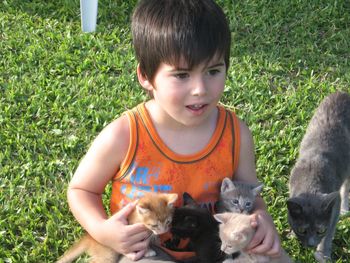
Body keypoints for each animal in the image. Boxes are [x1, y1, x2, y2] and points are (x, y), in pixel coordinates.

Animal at [288, 91, 350, 263]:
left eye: (320, 230)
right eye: (302, 230)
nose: (310, 244)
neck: (311, 184)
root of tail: (343, 93)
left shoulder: (333, 207)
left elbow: (329, 232)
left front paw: (323, 254)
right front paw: (291, 233)